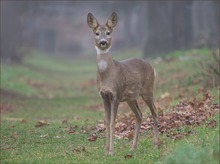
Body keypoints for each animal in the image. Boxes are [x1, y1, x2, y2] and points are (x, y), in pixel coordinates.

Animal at [86, 12, 158, 156]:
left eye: (108, 32)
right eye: (97, 33)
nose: (103, 42)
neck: (107, 74)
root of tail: (152, 66)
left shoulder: (116, 95)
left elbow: (113, 122)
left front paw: (111, 151)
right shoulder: (104, 96)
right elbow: (106, 122)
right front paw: (106, 150)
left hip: (148, 90)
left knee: (154, 111)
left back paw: (156, 143)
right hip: (131, 98)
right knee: (139, 115)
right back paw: (133, 147)